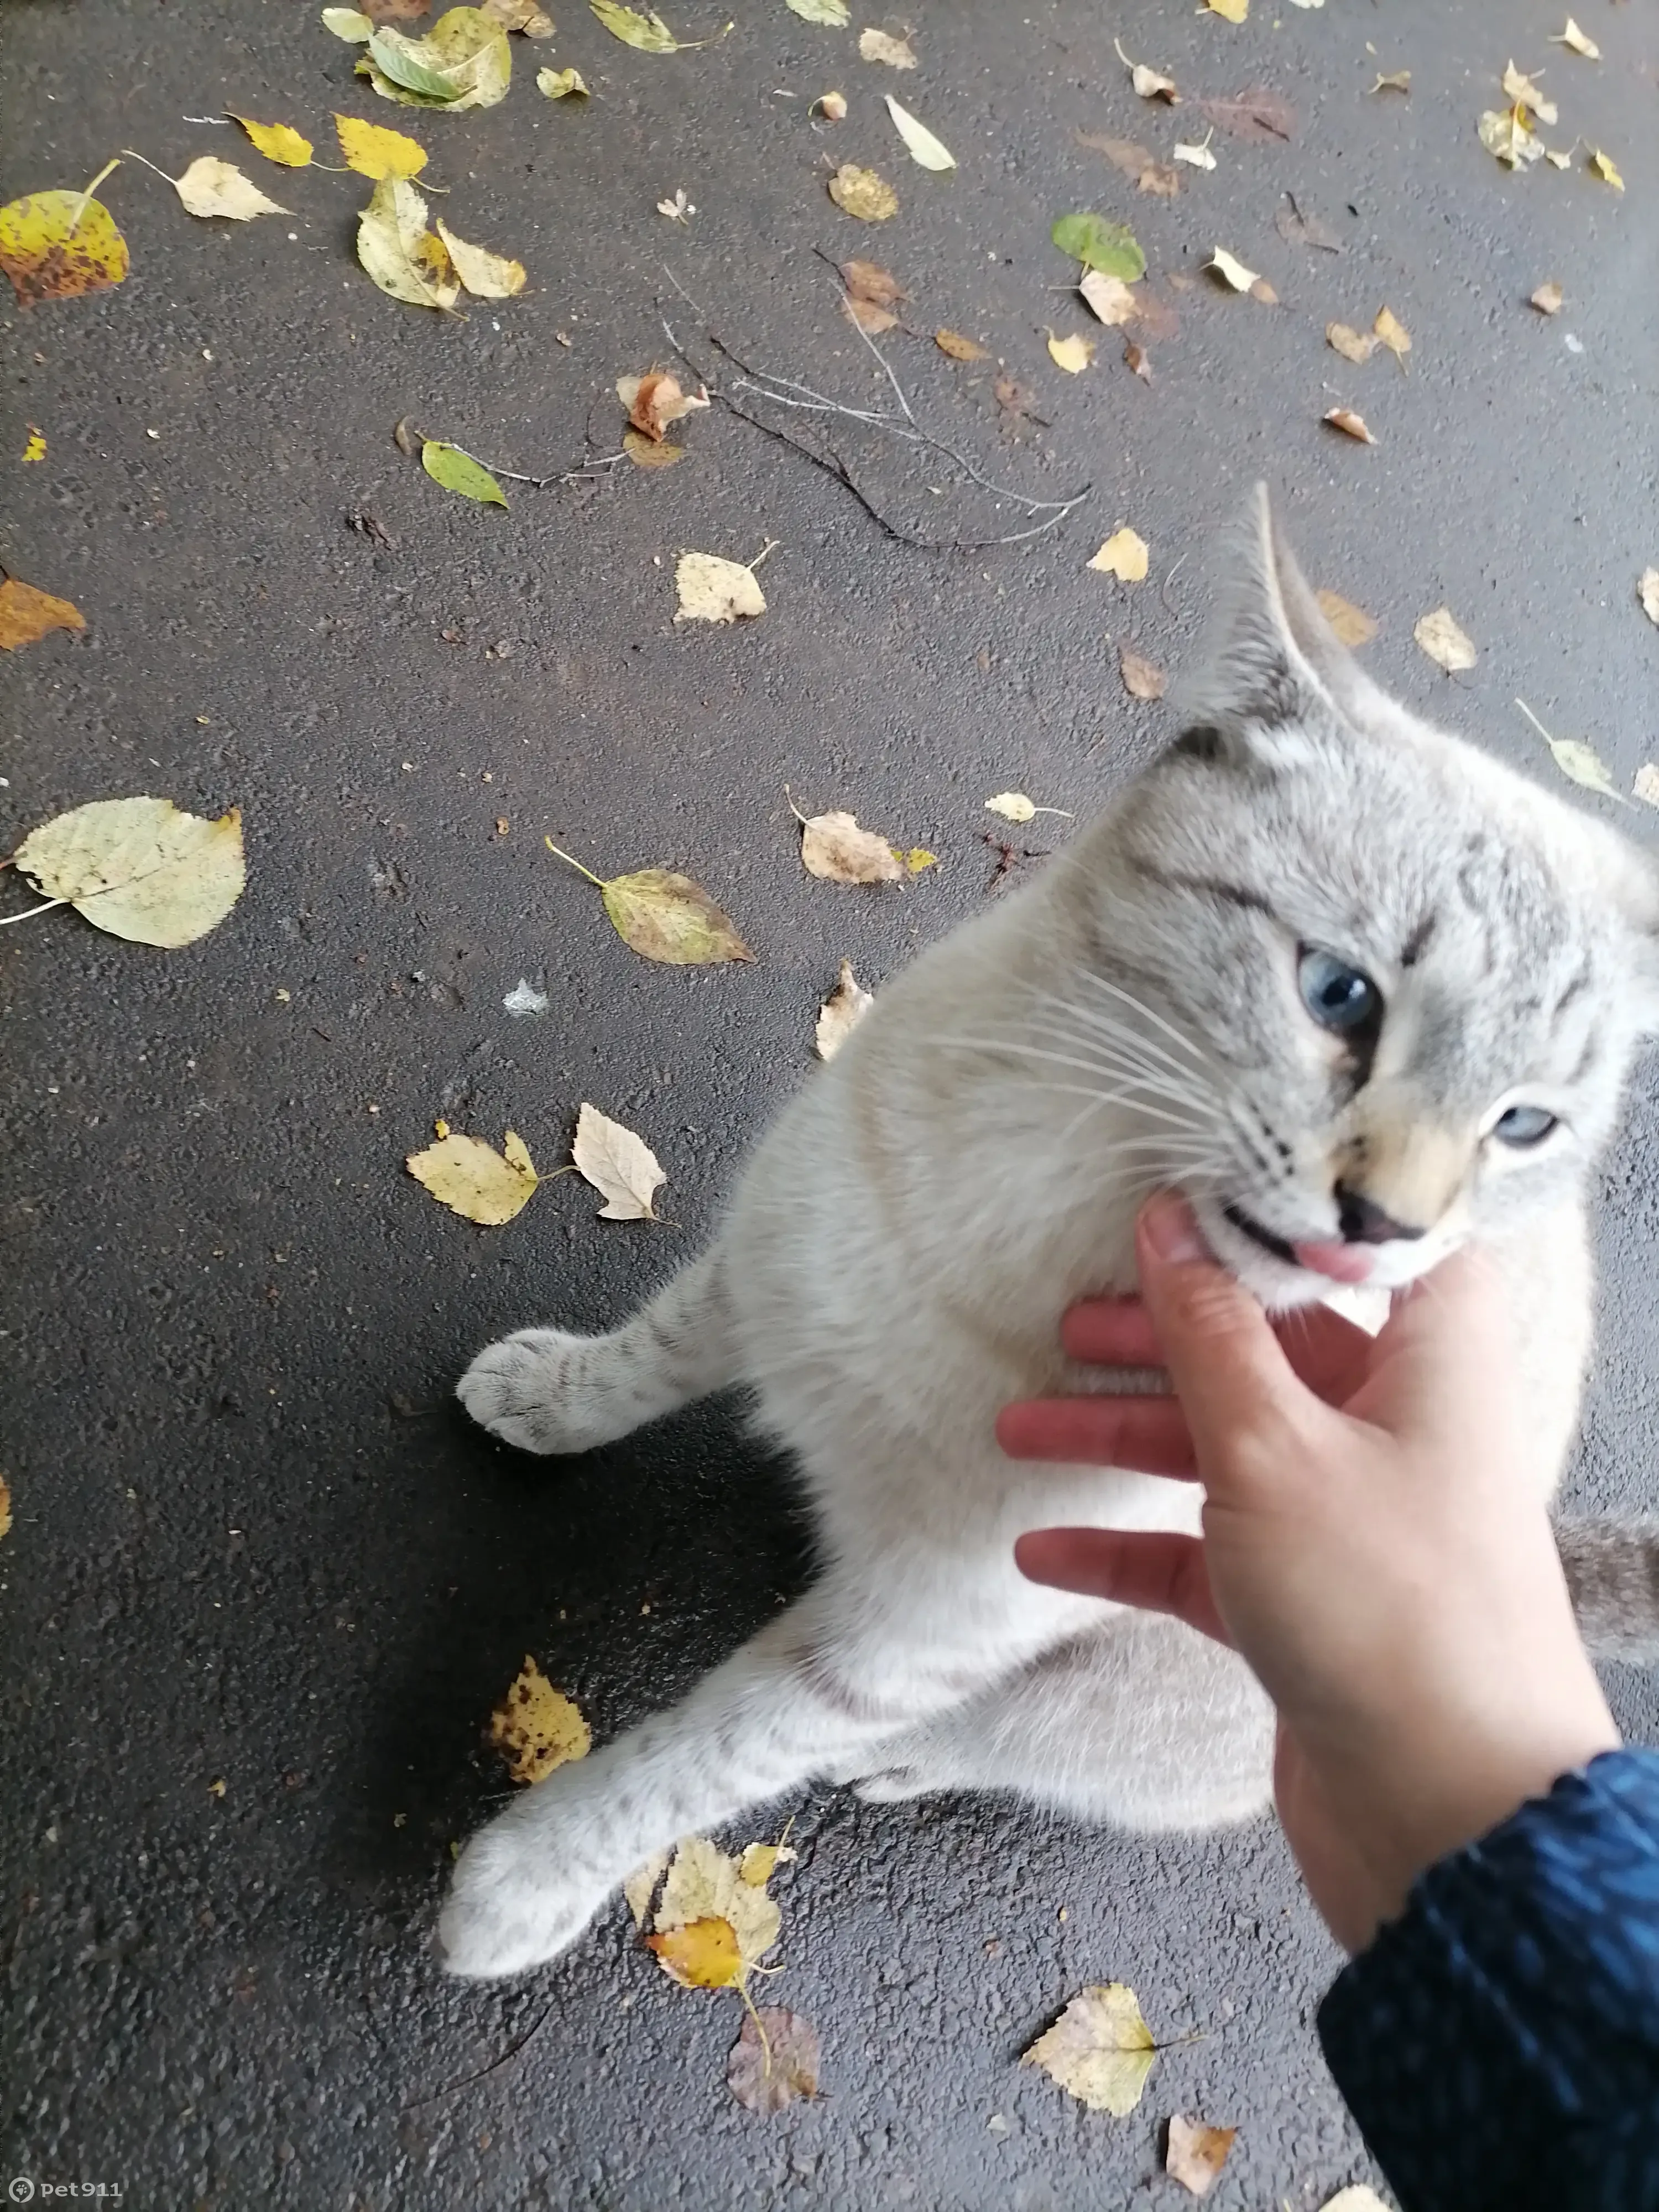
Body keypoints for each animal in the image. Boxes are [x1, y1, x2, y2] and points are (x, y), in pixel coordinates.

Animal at [438, 493, 1659, 1982]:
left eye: (1523, 1125)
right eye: (1340, 996)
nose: (1388, 1229)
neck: (1040, 1185)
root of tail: (1542, 1558)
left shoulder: (903, 1636)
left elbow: (697, 1763)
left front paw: (523, 1885)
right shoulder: (766, 1263)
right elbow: (641, 1360)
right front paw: (539, 1401)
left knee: (979, 1747)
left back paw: (903, 1767)